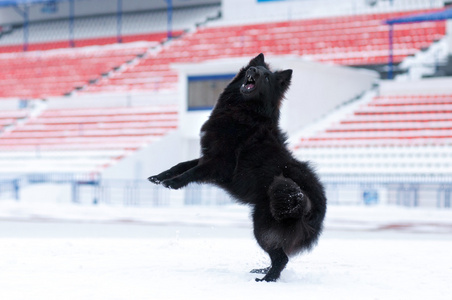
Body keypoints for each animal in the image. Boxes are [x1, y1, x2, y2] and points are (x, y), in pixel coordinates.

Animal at [150, 53, 326, 282]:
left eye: (266, 77)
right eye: (253, 69)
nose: (253, 71)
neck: (244, 111)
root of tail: (314, 206)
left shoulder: (220, 165)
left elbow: (192, 171)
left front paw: (173, 183)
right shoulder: (209, 156)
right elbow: (182, 165)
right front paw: (160, 177)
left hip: (262, 224)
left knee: (282, 258)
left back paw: (266, 280)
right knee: (280, 256)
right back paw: (262, 270)